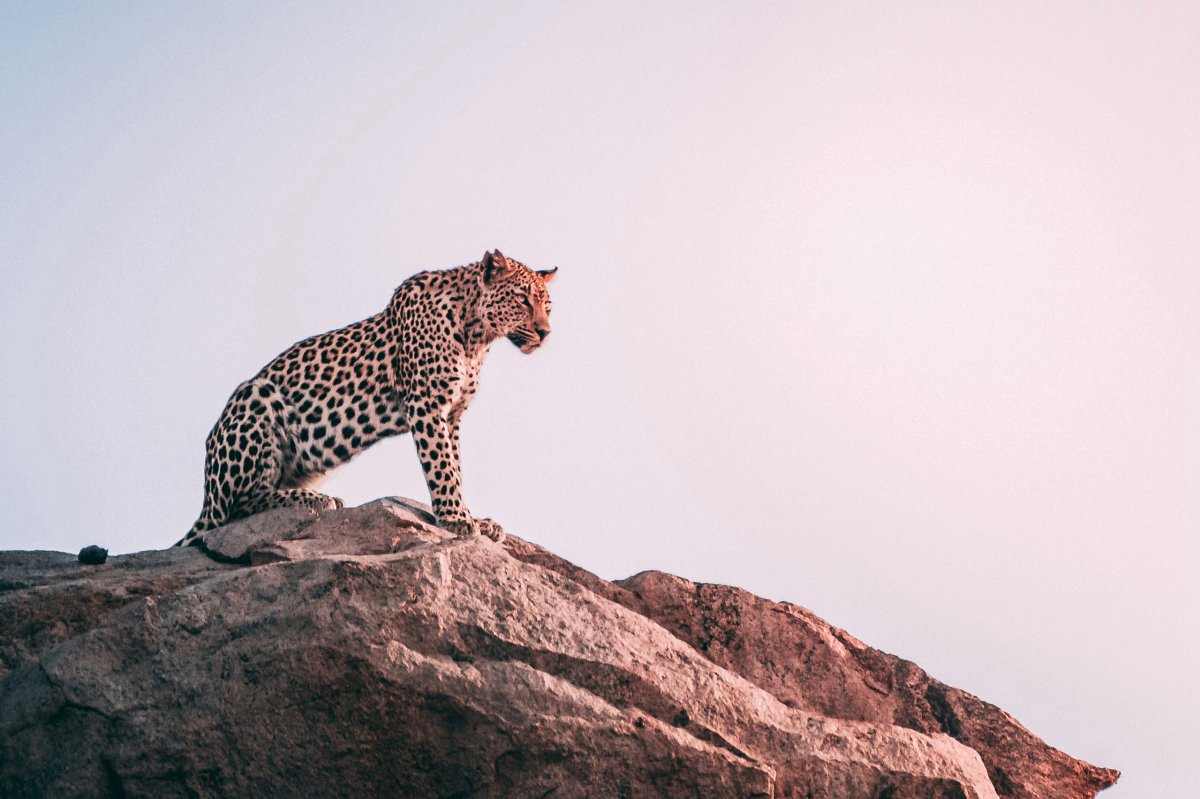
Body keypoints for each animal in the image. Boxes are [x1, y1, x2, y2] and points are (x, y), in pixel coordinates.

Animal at [175, 250, 555, 547]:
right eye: (522, 299)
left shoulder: (452, 415)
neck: (477, 336)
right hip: (254, 397)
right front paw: (455, 518)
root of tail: (206, 497)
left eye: (547, 306)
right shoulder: (427, 404)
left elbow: (456, 466)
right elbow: (442, 466)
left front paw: (473, 516)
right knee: (238, 507)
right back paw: (316, 500)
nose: (545, 333)